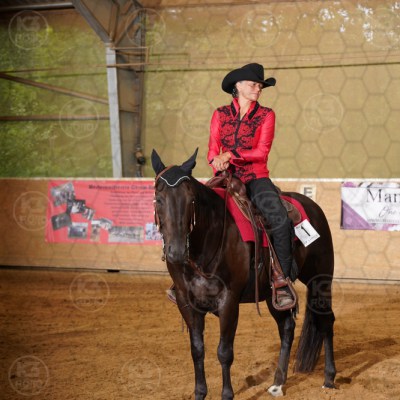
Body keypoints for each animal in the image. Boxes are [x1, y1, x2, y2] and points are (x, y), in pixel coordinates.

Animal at [151, 148, 336, 399]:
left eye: (191, 200)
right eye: (159, 200)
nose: (176, 251)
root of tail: (314, 207)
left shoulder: (229, 302)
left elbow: (224, 351)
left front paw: (227, 394)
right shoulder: (186, 302)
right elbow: (197, 350)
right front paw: (200, 392)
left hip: (320, 280)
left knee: (326, 321)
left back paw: (329, 378)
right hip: (272, 295)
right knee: (287, 327)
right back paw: (278, 383)